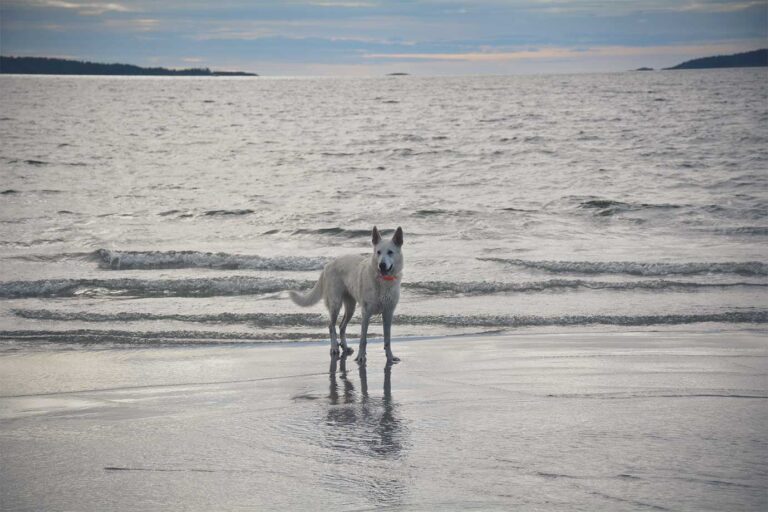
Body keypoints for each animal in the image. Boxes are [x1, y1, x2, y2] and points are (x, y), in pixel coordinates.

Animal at [292, 227, 404, 364]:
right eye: (378, 252)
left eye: (390, 252)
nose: (381, 265)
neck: (383, 282)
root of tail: (328, 264)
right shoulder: (366, 313)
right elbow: (363, 339)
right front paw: (361, 357)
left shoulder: (388, 313)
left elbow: (387, 339)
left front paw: (390, 357)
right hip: (335, 304)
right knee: (331, 326)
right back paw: (334, 347)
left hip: (350, 307)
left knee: (341, 326)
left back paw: (345, 347)